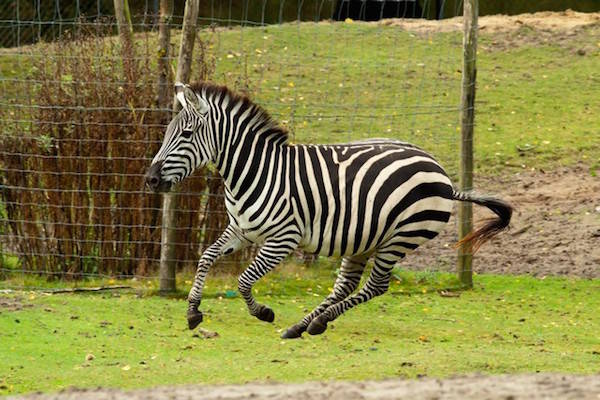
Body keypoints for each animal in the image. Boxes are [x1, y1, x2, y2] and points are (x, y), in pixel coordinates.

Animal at [144, 83, 510, 340]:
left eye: (186, 134)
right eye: (168, 133)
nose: (150, 179)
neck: (254, 171)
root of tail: (442, 174)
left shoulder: (283, 239)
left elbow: (245, 280)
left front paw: (262, 312)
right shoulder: (241, 229)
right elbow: (206, 257)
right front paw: (193, 311)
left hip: (400, 238)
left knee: (376, 286)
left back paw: (316, 321)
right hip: (364, 238)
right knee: (346, 286)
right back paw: (303, 325)